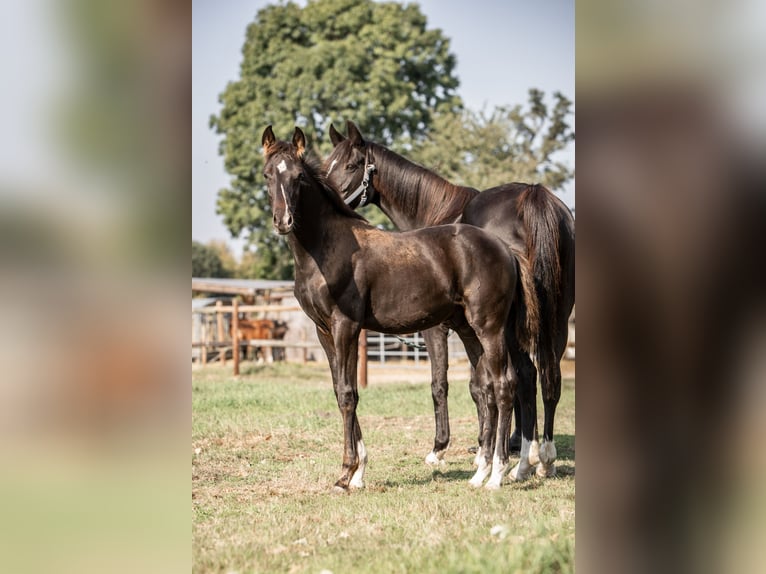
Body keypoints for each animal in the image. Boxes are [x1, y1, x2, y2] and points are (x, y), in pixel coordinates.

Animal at [261, 125, 538, 490]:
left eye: (299, 176)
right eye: (267, 175)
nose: (283, 220)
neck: (327, 248)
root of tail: (504, 248)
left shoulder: (345, 326)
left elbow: (348, 393)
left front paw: (345, 473)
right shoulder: (324, 332)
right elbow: (340, 390)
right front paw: (359, 471)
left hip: (489, 327)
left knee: (505, 383)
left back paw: (498, 474)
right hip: (468, 330)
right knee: (488, 387)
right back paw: (480, 473)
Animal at [324, 121, 575, 478]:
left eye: (350, 165)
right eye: (328, 164)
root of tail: (533, 196)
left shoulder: (438, 328)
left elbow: (445, 384)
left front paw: (442, 448)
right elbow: (480, 384)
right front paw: (491, 447)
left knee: (526, 376)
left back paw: (524, 461)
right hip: (556, 317)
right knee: (549, 378)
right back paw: (543, 458)